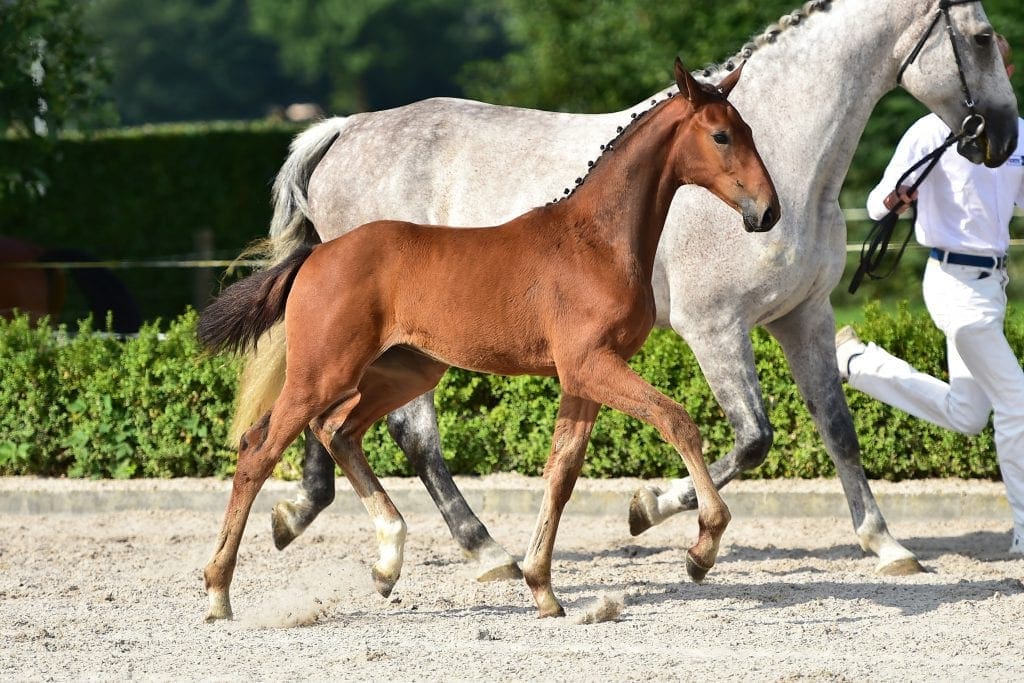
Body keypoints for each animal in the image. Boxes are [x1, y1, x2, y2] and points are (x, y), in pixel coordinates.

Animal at [198, 58, 779, 621]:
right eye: (721, 135)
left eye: (750, 130)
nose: (767, 211)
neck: (597, 240)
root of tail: (316, 254)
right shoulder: (592, 364)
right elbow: (677, 420)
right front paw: (702, 548)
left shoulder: (581, 377)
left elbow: (561, 472)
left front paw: (542, 588)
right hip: (323, 371)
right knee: (259, 449)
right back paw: (219, 592)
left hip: (405, 369)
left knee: (337, 431)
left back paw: (387, 562)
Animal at [240, 0, 1019, 580]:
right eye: (983, 38)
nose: (1003, 139)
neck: (789, 155)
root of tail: (344, 130)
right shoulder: (716, 328)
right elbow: (752, 439)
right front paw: (652, 508)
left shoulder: (804, 317)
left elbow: (837, 427)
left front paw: (887, 544)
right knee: (407, 432)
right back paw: (485, 550)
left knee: (332, 417)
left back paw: (301, 513)